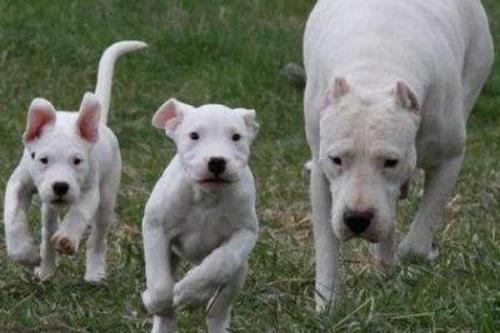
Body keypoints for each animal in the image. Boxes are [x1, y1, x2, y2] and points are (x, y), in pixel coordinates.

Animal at [4, 39, 148, 282]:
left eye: (78, 161)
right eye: (43, 159)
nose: (60, 186)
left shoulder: (90, 191)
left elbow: (78, 214)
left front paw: (67, 238)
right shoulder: (19, 183)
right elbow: (13, 215)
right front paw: (24, 253)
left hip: (107, 198)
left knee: (98, 237)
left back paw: (95, 272)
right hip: (49, 208)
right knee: (48, 231)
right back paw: (46, 269)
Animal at [140, 99, 258, 332]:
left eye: (236, 137)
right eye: (194, 135)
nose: (217, 161)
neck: (206, 197)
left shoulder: (246, 232)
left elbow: (222, 261)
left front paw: (191, 293)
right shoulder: (155, 227)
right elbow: (160, 287)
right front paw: (154, 301)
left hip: (239, 274)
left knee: (218, 309)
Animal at [302, 0, 494, 310]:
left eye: (391, 162)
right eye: (337, 160)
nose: (357, 219)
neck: (375, 74)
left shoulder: (449, 159)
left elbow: (414, 245)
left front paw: (419, 254)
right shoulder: (323, 177)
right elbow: (327, 243)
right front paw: (327, 305)